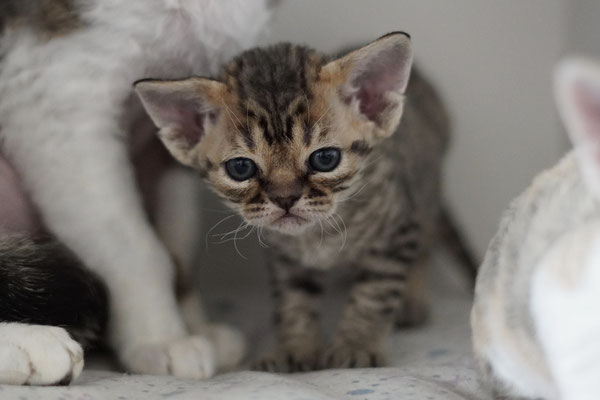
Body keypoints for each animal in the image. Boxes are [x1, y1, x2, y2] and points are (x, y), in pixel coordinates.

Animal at [0, 0, 274, 384]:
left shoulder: (188, 126)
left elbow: (179, 240)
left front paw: (194, 325)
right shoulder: (54, 104)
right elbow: (135, 249)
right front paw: (160, 337)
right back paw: (30, 344)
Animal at [136, 31, 474, 372]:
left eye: (325, 159)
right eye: (241, 168)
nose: (285, 197)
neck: (319, 234)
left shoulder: (397, 227)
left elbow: (374, 293)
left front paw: (355, 344)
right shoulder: (285, 257)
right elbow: (293, 302)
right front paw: (295, 350)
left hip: (424, 192)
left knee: (425, 246)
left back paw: (412, 301)